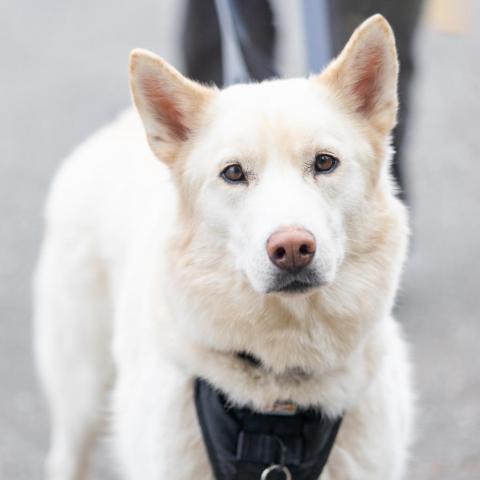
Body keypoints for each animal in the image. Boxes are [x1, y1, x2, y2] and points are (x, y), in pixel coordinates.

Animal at [35, 15, 414, 480]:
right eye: (233, 173)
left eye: (325, 163)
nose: (292, 247)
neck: (280, 403)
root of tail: (118, 127)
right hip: (81, 394)